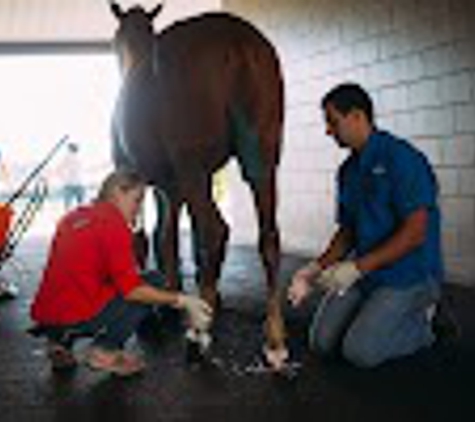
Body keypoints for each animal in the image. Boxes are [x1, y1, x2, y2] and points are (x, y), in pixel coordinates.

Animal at [108, 2, 286, 366]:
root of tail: (237, 41)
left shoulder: (139, 177)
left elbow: (143, 238)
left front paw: (158, 312)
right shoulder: (171, 187)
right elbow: (167, 237)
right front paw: (176, 296)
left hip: (194, 169)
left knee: (214, 232)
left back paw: (198, 335)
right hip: (260, 163)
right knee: (268, 237)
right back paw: (273, 339)